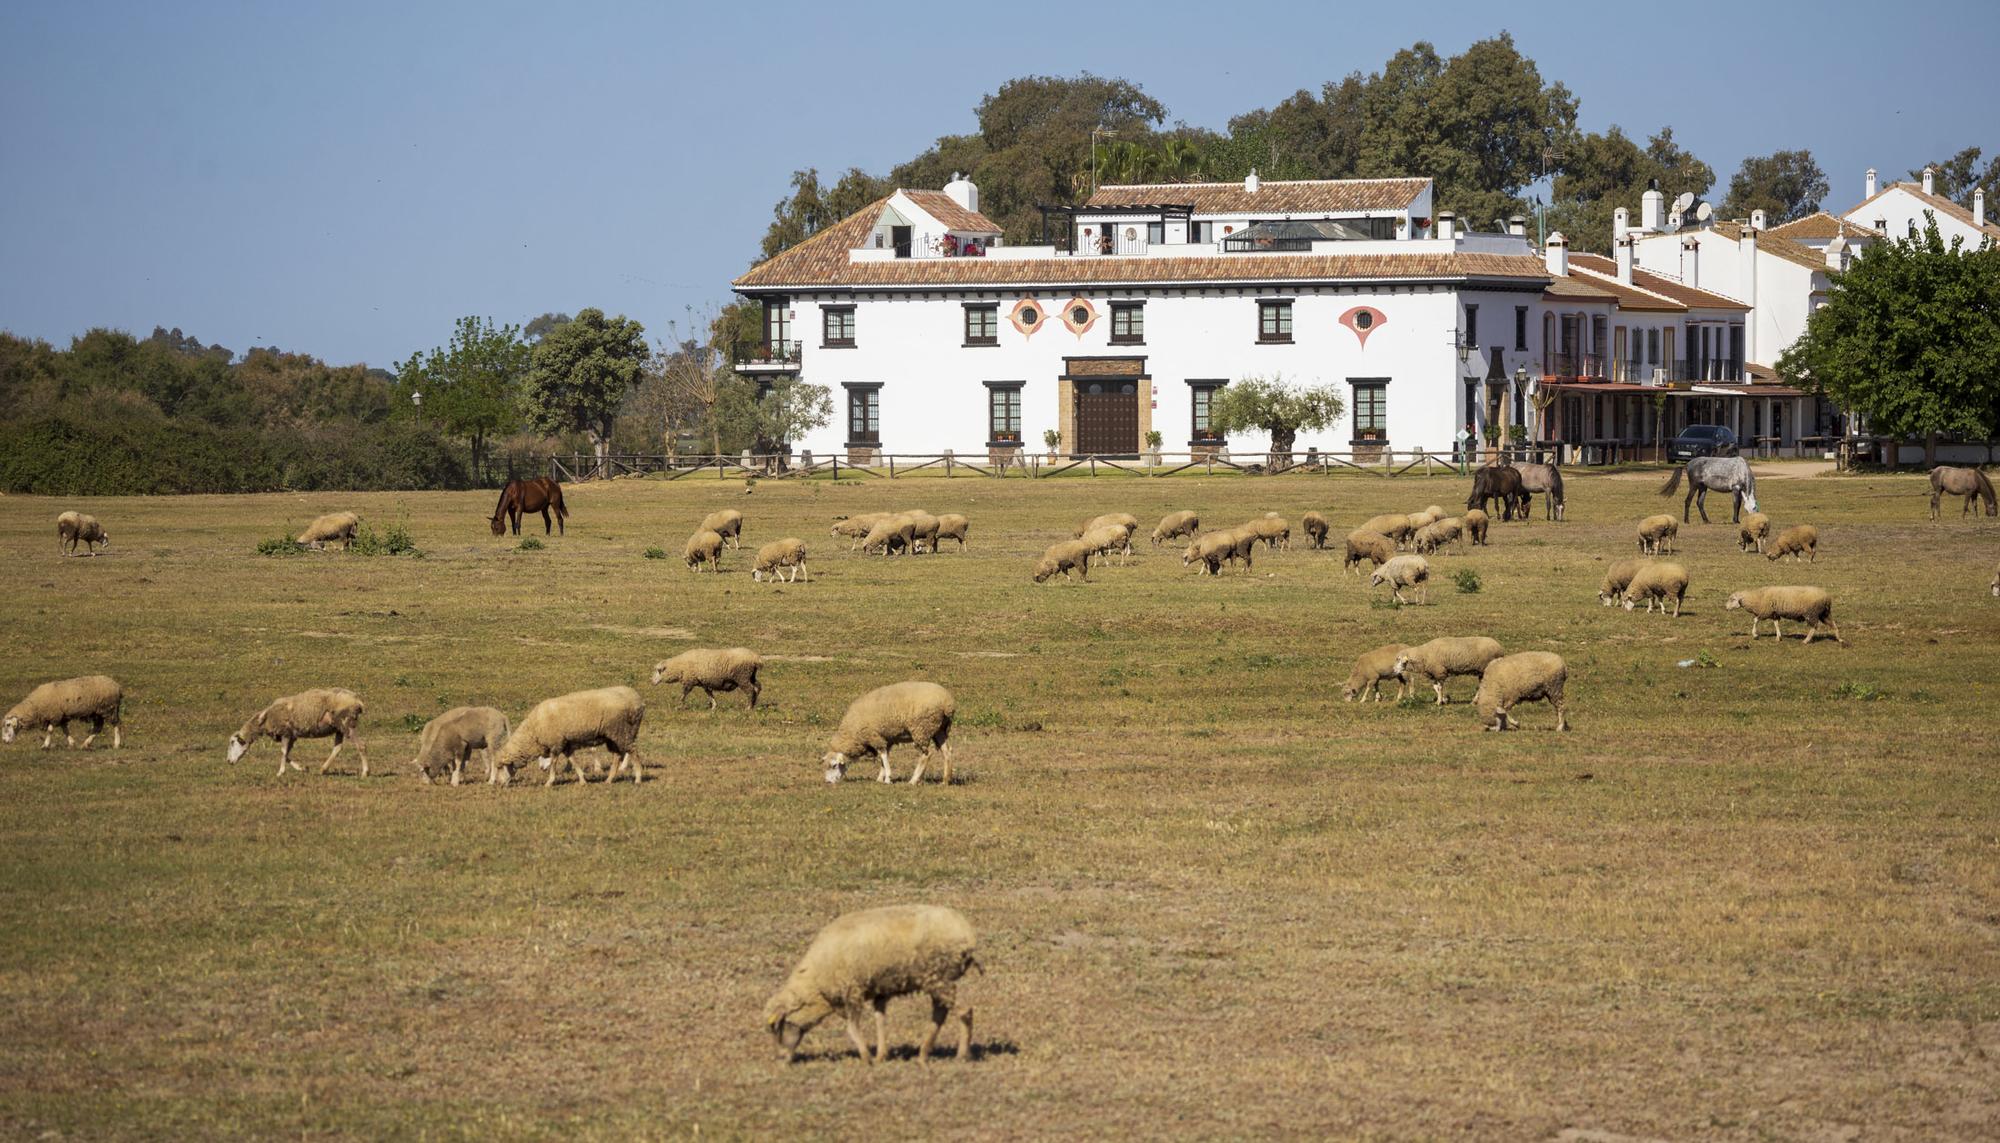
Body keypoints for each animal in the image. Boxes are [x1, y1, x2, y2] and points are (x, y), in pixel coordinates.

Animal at [229, 687, 370, 775]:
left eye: (232, 742)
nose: (229, 762)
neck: (265, 719)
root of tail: (357, 701)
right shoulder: (292, 735)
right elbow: (286, 754)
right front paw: (303, 768)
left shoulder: (285, 732)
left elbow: (283, 752)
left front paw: (280, 772)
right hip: (339, 727)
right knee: (337, 748)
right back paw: (323, 769)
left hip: (347, 723)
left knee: (361, 745)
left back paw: (365, 772)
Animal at [496, 687, 644, 787]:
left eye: (500, 768)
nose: (500, 784)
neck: (533, 730)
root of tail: (638, 700)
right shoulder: (565, 744)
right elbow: (573, 760)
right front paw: (583, 780)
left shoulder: (556, 744)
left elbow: (554, 763)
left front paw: (549, 782)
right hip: (613, 736)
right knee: (617, 755)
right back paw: (609, 779)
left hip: (621, 731)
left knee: (633, 751)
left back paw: (638, 778)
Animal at [760, 907, 980, 1071]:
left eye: (777, 1028)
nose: (779, 1061)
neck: (815, 985)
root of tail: (968, 936)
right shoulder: (879, 990)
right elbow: (879, 1019)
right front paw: (881, 1055)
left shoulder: (852, 991)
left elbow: (853, 1028)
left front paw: (866, 1058)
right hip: (935, 981)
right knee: (940, 1013)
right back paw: (923, 1054)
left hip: (938, 978)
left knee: (964, 1010)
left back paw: (961, 1055)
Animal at [824, 679, 956, 787]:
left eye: (834, 765)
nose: (827, 782)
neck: (853, 733)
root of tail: (947, 702)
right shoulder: (886, 739)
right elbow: (884, 759)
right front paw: (880, 778)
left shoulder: (876, 737)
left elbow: (884, 757)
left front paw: (887, 778)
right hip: (939, 729)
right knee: (947, 752)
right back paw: (945, 780)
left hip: (922, 728)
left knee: (926, 755)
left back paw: (913, 780)